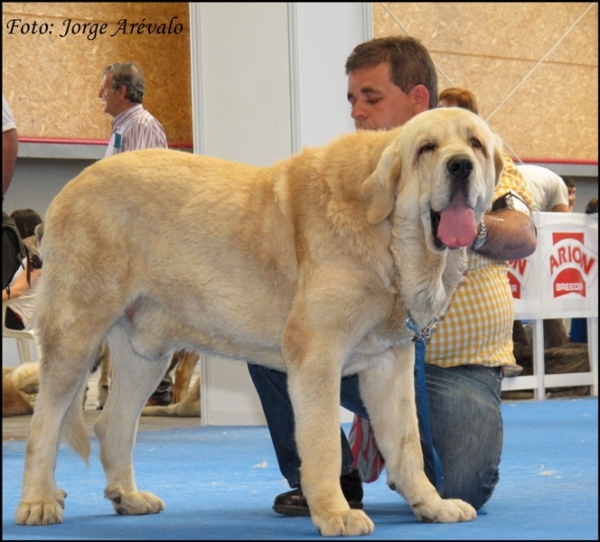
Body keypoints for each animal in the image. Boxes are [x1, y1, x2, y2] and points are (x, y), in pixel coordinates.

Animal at [15, 108, 502, 536]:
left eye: (475, 143)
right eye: (427, 148)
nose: (460, 165)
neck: (387, 235)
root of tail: (73, 185)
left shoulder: (391, 364)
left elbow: (407, 443)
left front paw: (431, 505)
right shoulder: (317, 355)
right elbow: (323, 443)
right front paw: (335, 513)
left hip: (145, 356)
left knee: (111, 425)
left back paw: (127, 497)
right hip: (76, 336)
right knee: (44, 425)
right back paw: (38, 501)